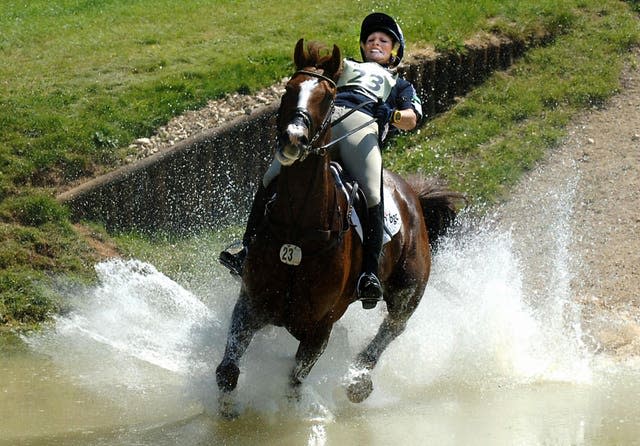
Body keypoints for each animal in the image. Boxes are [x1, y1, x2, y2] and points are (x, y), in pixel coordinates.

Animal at [216, 38, 464, 414]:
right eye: (288, 90)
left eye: (329, 97)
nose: (293, 138)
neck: (298, 231)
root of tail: (414, 197)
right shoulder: (251, 305)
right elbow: (227, 371)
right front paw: (227, 413)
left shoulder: (319, 330)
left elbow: (294, 383)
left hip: (408, 290)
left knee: (392, 328)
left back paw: (358, 381)